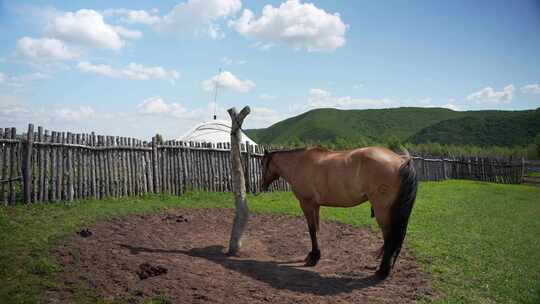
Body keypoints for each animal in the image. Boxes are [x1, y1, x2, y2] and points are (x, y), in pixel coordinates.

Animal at [260, 146, 418, 280]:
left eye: (262, 164)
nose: (262, 186)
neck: (299, 163)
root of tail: (402, 161)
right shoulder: (315, 206)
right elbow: (316, 230)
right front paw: (316, 255)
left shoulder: (307, 204)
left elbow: (311, 230)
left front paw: (312, 257)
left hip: (383, 212)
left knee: (390, 238)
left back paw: (382, 271)